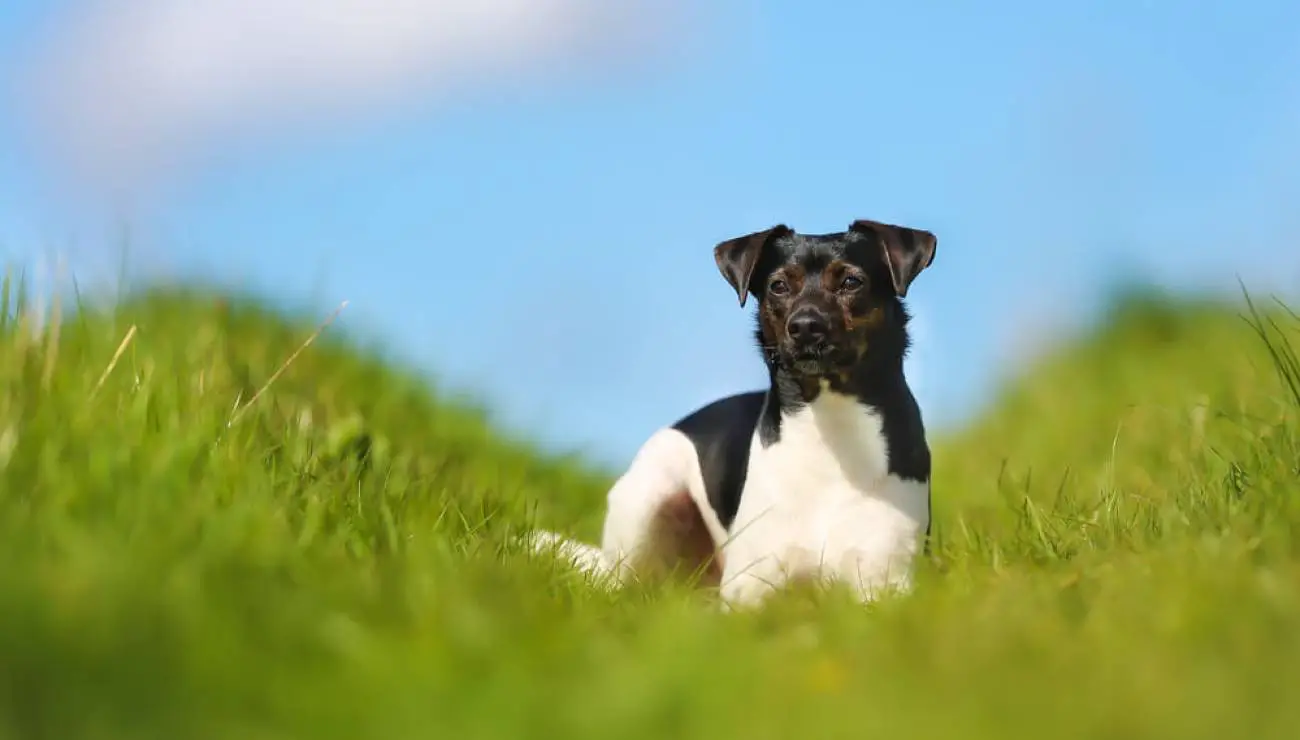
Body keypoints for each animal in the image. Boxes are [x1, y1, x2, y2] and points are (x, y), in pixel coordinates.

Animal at [533, 218, 941, 606]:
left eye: (852, 282)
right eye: (778, 286)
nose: (805, 327)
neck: (830, 427)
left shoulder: (884, 580)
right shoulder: (750, 589)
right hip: (647, 499)